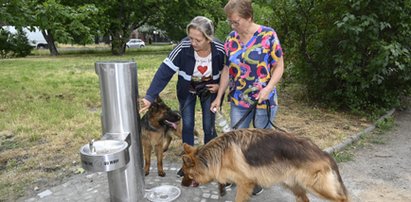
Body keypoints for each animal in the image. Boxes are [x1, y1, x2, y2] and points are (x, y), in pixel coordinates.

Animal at [182, 129, 350, 201]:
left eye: (184, 172)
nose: (182, 184)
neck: (219, 154)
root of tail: (323, 153)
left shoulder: (245, 183)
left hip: (315, 186)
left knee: (342, 198)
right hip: (294, 185)